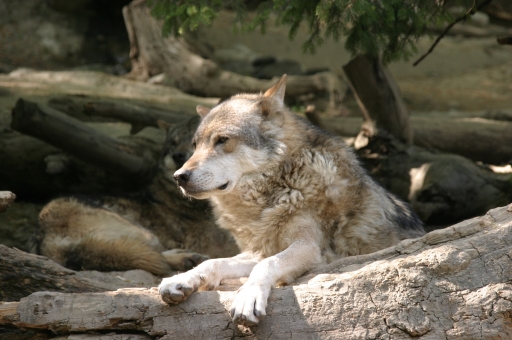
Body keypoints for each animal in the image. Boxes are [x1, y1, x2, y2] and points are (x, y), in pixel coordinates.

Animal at [31, 117, 239, 276]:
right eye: (174, 143)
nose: (177, 155)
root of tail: (44, 236)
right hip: (143, 232)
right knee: (154, 254)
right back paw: (187, 258)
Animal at [160, 75, 424, 326]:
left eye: (222, 140)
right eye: (195, 145)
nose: (179, 176)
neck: (279, 188)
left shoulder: (308, 247)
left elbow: (267, 265)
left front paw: (247, 298)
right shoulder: (260, 249)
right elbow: (214, 262)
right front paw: (181, 279)